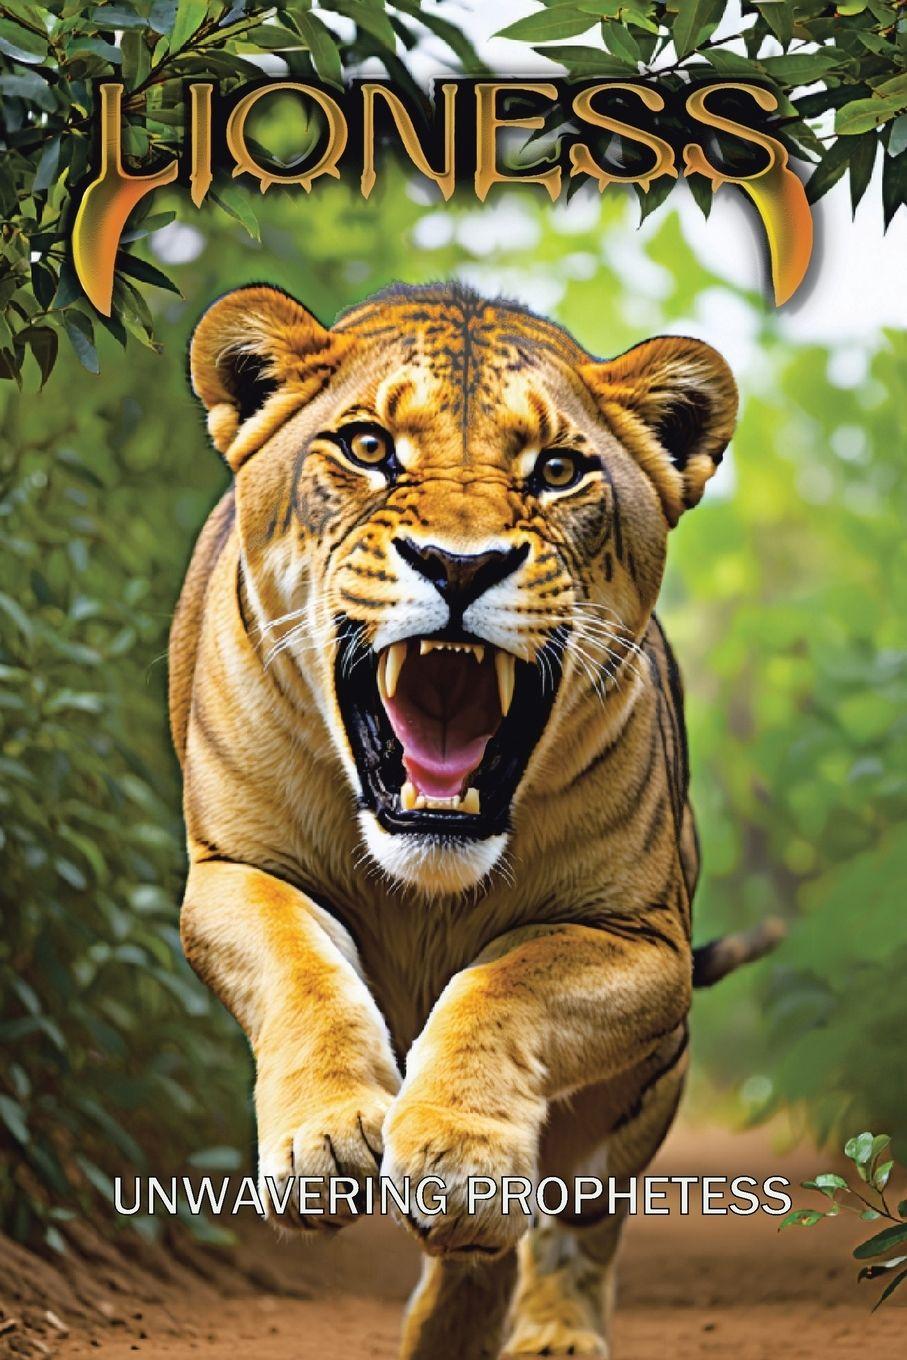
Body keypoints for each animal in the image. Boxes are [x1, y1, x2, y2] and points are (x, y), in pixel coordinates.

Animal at [169, 281, 779, 1359]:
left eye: (557, 470)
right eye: (369, 447)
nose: (459, 567)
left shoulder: (641, 942)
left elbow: (503, 986)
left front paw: (456, 1156)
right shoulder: (233, 872)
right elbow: (300, 967)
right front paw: (325, 1144)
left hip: (642, 1089)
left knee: (571, 1219)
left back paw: (545, 1323)